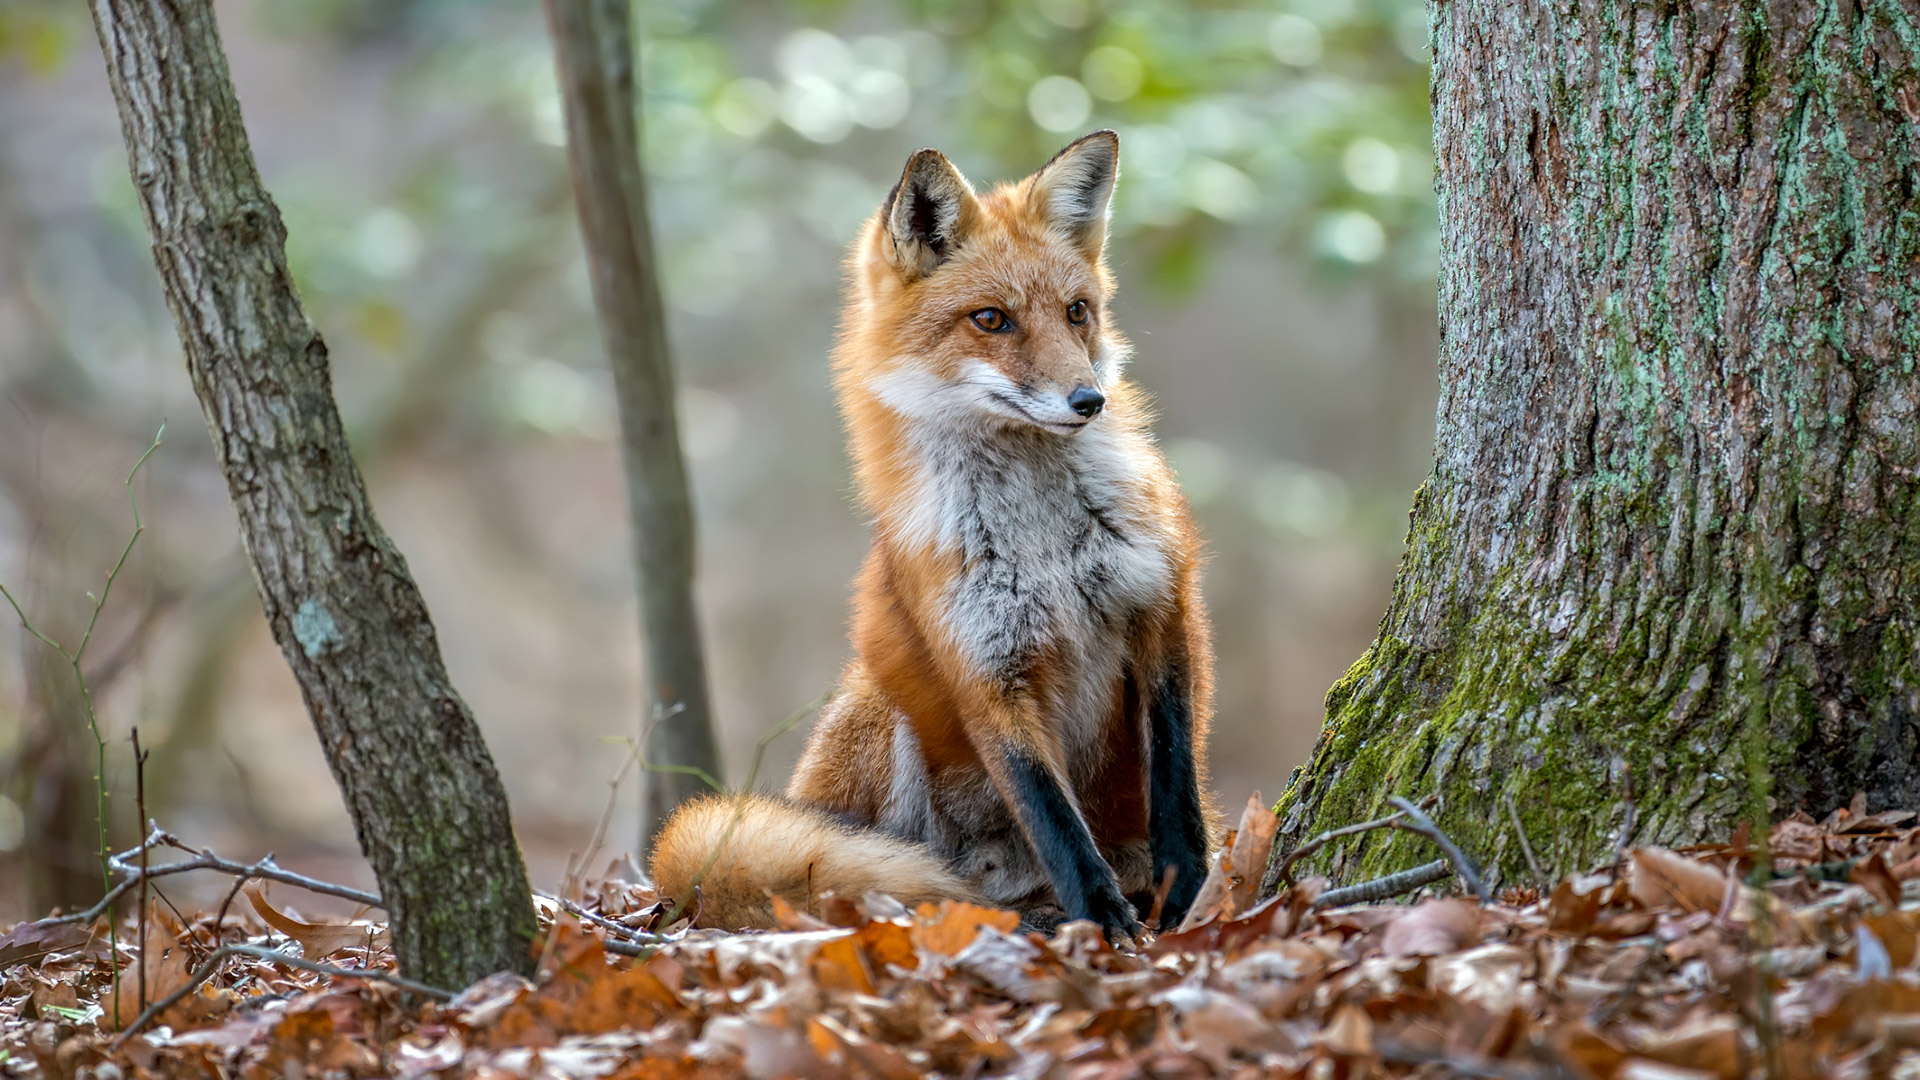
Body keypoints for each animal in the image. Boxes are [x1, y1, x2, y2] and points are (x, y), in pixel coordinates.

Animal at [651, 131, 1218, 941]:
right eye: (991, 319)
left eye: (1078, 312)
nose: (1089, 400)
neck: (1042, 538)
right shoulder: (984, 667)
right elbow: (1052, 815)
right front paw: (1105, 921)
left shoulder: (1161, 613)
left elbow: (1177, 779)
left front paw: (1190, 889)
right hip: (883, 703)